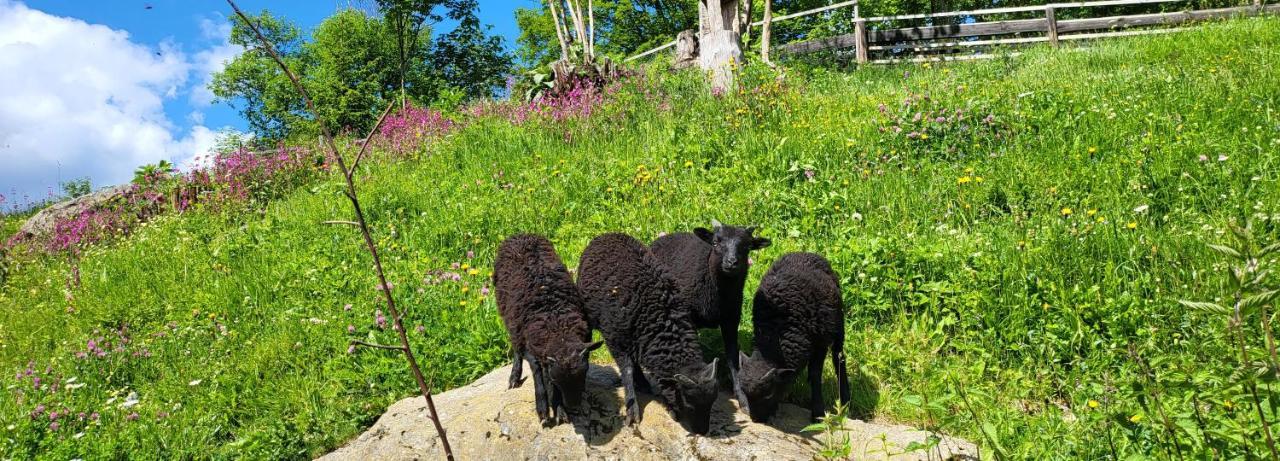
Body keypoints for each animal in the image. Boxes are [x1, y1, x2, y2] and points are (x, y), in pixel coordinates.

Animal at [494, 234, 604, 427]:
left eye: (584, 374)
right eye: (557, 380)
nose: (574, 406)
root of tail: (519, 234)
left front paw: (559, 410)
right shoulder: (533, 348)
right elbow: (539, 373)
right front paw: (544, 409)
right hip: (511, 321)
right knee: (516, 349)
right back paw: (514, 377)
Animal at [578, 234, 721, 435]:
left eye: (712, 402)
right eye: (690, 405)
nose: (702, 432)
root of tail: (607, 234)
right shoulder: (616, 340)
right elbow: (627, 370)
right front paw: (633, 411)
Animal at [650, 220, 768, 379]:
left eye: (747, 247)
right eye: (715, 243)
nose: (731, 262)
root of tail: (663, 237)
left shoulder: (731, 320)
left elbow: (733, 358)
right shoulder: (689, 318)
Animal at [732, 252, 849, 422]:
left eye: (769, 394)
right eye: (744, 392)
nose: (757, 419)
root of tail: (806, 253)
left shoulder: (820, 343)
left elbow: (815, 374)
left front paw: (818, 413)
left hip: (838, 324)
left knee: (839, 357)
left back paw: (846, 399)